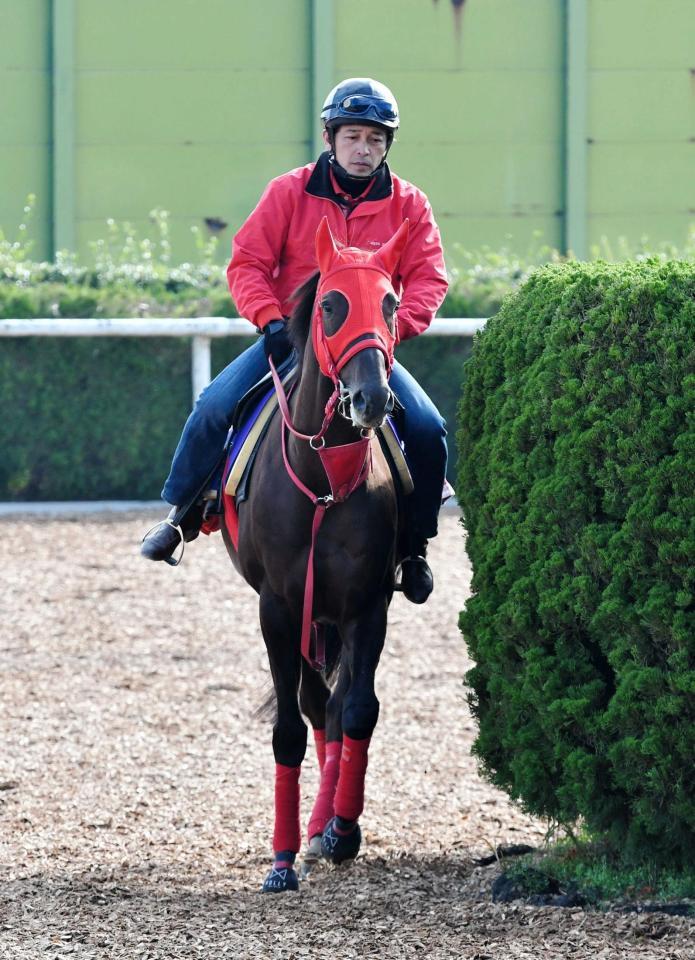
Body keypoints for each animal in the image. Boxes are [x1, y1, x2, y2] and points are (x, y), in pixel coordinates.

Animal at [220, 218, 410, 892]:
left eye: (391, 302)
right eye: (330, 303)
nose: (371, 397)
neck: (323, 483)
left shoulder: (367, 605)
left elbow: (358, 710)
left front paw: (344, 829)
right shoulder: (278, 608)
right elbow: (288, 731)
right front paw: (280, 860)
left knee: (333, 705)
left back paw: (326, 823)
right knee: (311, 705)